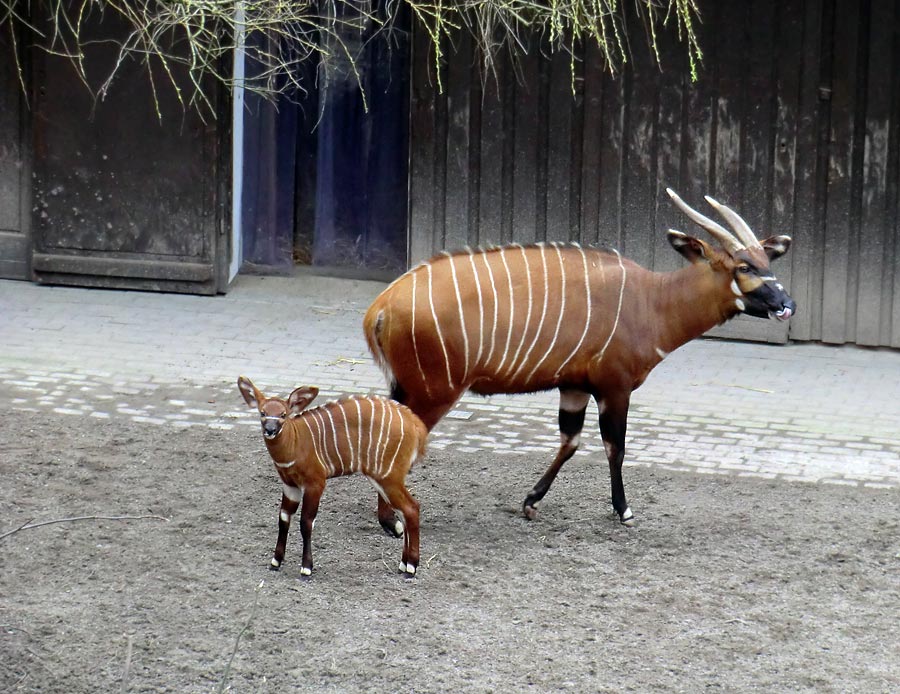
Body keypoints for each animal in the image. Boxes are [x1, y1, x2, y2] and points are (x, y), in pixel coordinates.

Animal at [236, 378, 426, 580]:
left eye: (283, 414)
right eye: (262, 412)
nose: (270, 430)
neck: (295, 442)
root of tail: (414, 423)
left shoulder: (315, 483)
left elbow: (306, 522)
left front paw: (306, 568)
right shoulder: (290, 486)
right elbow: (284, 518)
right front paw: (275, 562)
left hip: (388, 477)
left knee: (411, 508)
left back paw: (411, 567)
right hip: (384, 479)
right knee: (406, 511)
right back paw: (403, 565)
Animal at [362, 190, 800, 528]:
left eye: (767, 262)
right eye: (744, 266)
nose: (787, 305)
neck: (652, 302)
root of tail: (381, 307)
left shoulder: (573, 387)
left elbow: (570, 441)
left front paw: (531, 502)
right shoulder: (614, 388)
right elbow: (614, 446)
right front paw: (623, 511)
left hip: (409, 388)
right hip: (435, 391)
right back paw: (391, 521)